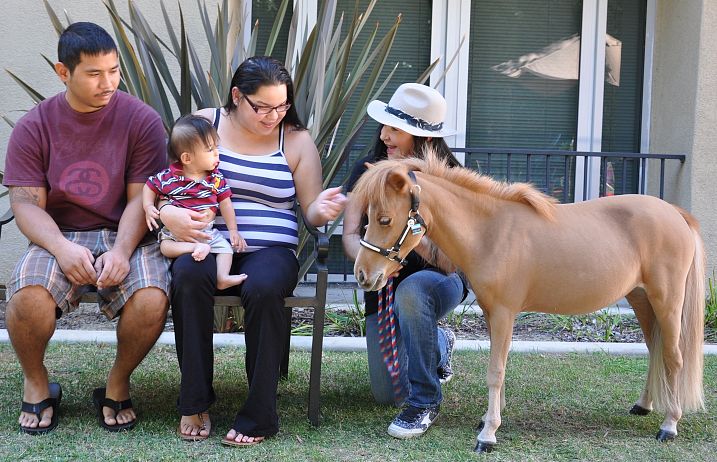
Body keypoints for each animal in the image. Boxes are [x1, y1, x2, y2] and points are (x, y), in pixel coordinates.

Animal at [352, 152, 704, 452]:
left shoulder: (504, 313)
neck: (490, 232)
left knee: (673, 357)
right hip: (641, 299)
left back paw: (669, 424)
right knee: (655, 351)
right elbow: (500, 367)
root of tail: (676, 214)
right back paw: (644, 406)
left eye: (384, 219)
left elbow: (495, 370)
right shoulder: (492, 313)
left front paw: (488, 435)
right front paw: (489, 419)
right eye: (367, 216)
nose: (363, 274)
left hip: (667, 301)